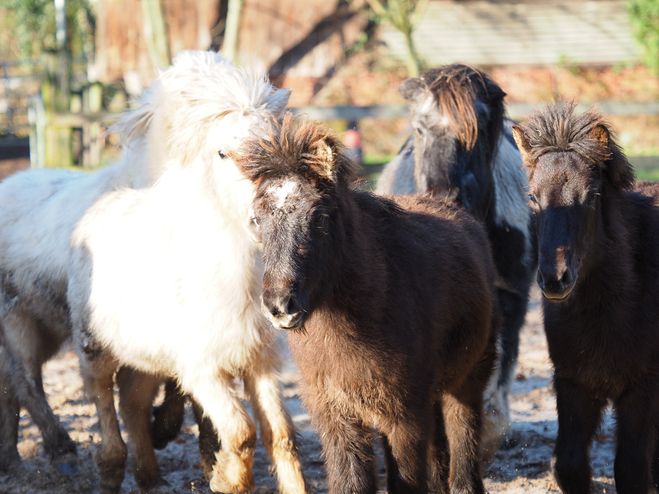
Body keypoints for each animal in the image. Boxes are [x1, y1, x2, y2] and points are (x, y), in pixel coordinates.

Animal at [0, 49, 294, 490]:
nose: (262, 218)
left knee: (11, 388)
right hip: (26, 322)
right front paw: (201, 456)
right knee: (29, 382)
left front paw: (194, 449)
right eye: (222, 151)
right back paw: (65, 452)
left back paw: (14, 458)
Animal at [235, 114, 498, 492]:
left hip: (469, 376)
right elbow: (351, 481)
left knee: (463, 435)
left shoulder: (403, 418)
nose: (279, 306)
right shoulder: (338, 416)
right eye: (258, 219)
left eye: (319, 216)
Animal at [512, 100, 659, 494]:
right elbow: (569, 465)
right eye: (532, 197)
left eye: (592, 195)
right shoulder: (574, 384)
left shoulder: (643, 388)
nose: (555, 279)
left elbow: (631, 468)